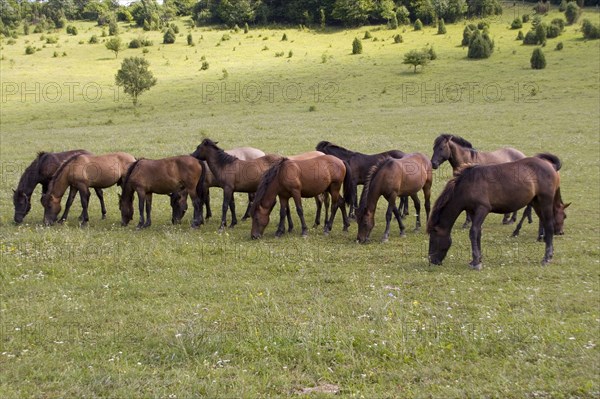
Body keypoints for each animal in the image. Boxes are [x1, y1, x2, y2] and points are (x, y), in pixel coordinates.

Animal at [426, 155, 568, 270]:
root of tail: (551, 166)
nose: (432, 261)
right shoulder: (472, 211)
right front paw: (477, 259)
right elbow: (478, 233)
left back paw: (547, 258)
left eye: (432, 238)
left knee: (549, 226)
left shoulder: (482, 209)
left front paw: (476, 262)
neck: (467, 185)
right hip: (536, 203)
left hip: (545, 202)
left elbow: (473, 232)